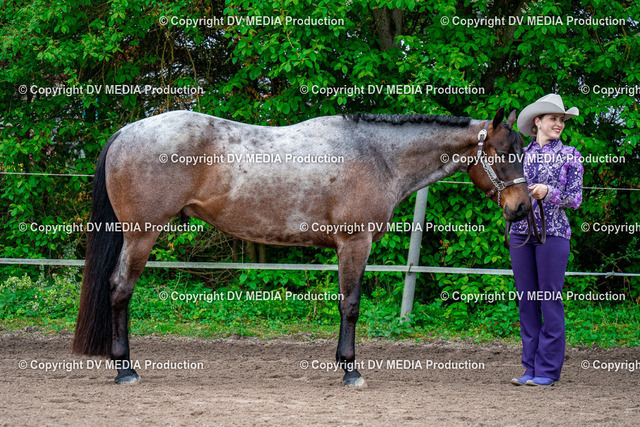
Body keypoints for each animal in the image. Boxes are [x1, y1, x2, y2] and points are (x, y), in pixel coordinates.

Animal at [72, 107, 531, 386]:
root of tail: (128, 131)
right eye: (505, 152)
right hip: (141, 233)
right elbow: (351, 305)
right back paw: (126, 370)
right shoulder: (354, 243)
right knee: (120, 291)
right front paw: (350, 371)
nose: (523, 207)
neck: (377, 155)